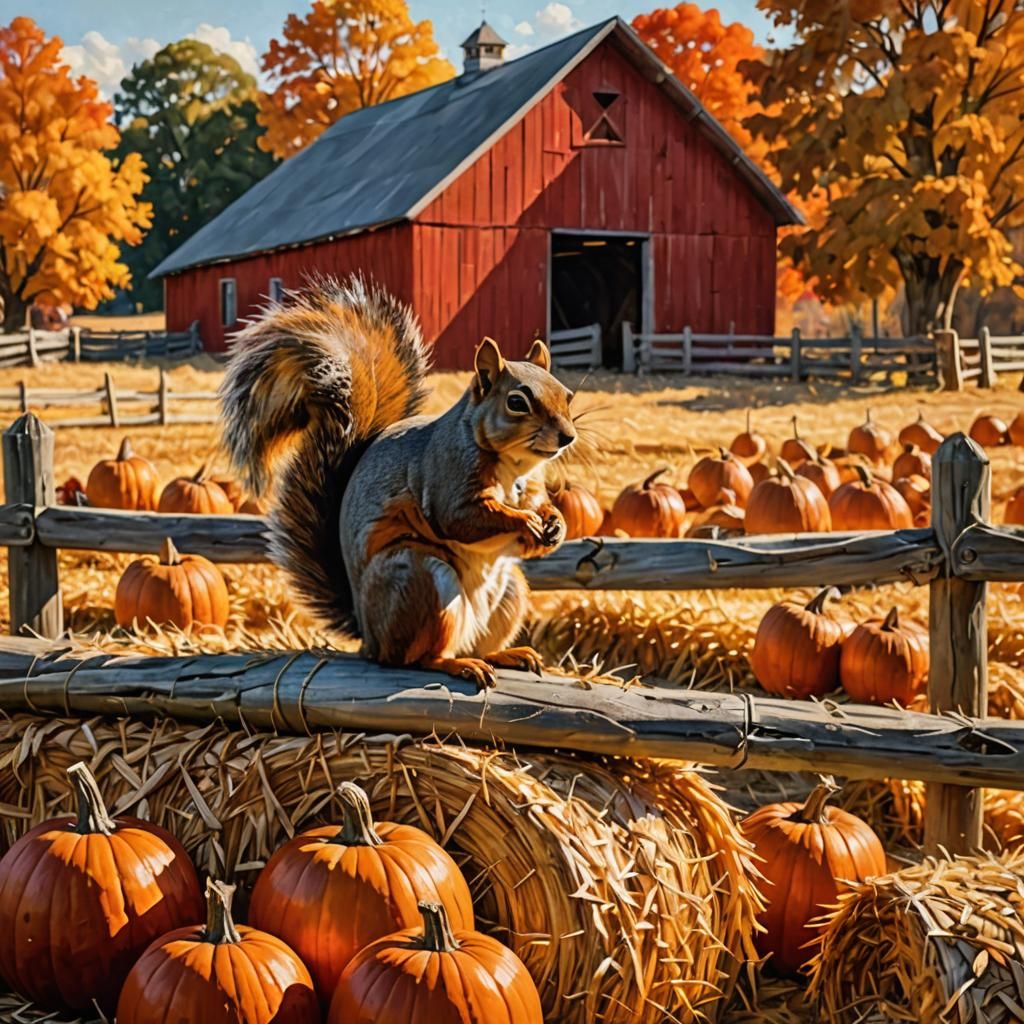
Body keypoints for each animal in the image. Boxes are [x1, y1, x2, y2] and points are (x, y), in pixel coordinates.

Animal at [219, 276, 577, 688]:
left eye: (568, 395)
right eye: (517, 402)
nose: (568, 436)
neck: (515, 468)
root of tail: (368, 636)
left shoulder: (531, 486)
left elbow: (538, 508)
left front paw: (555, 523)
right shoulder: (447, 477)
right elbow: (461, 518)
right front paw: (524, 521)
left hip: (509, 594)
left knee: (477, 643)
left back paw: (507, 654)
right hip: (422, 581)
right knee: (415, 658)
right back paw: (457, 664)